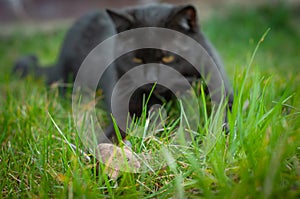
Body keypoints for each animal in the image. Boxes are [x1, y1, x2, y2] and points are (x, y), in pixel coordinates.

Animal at [13, 3, 234, 142]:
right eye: (136, 59)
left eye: (167, 58)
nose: (152, 79)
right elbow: (114, 133)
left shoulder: (221, 93)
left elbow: (219, 116)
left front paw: (219, 138)